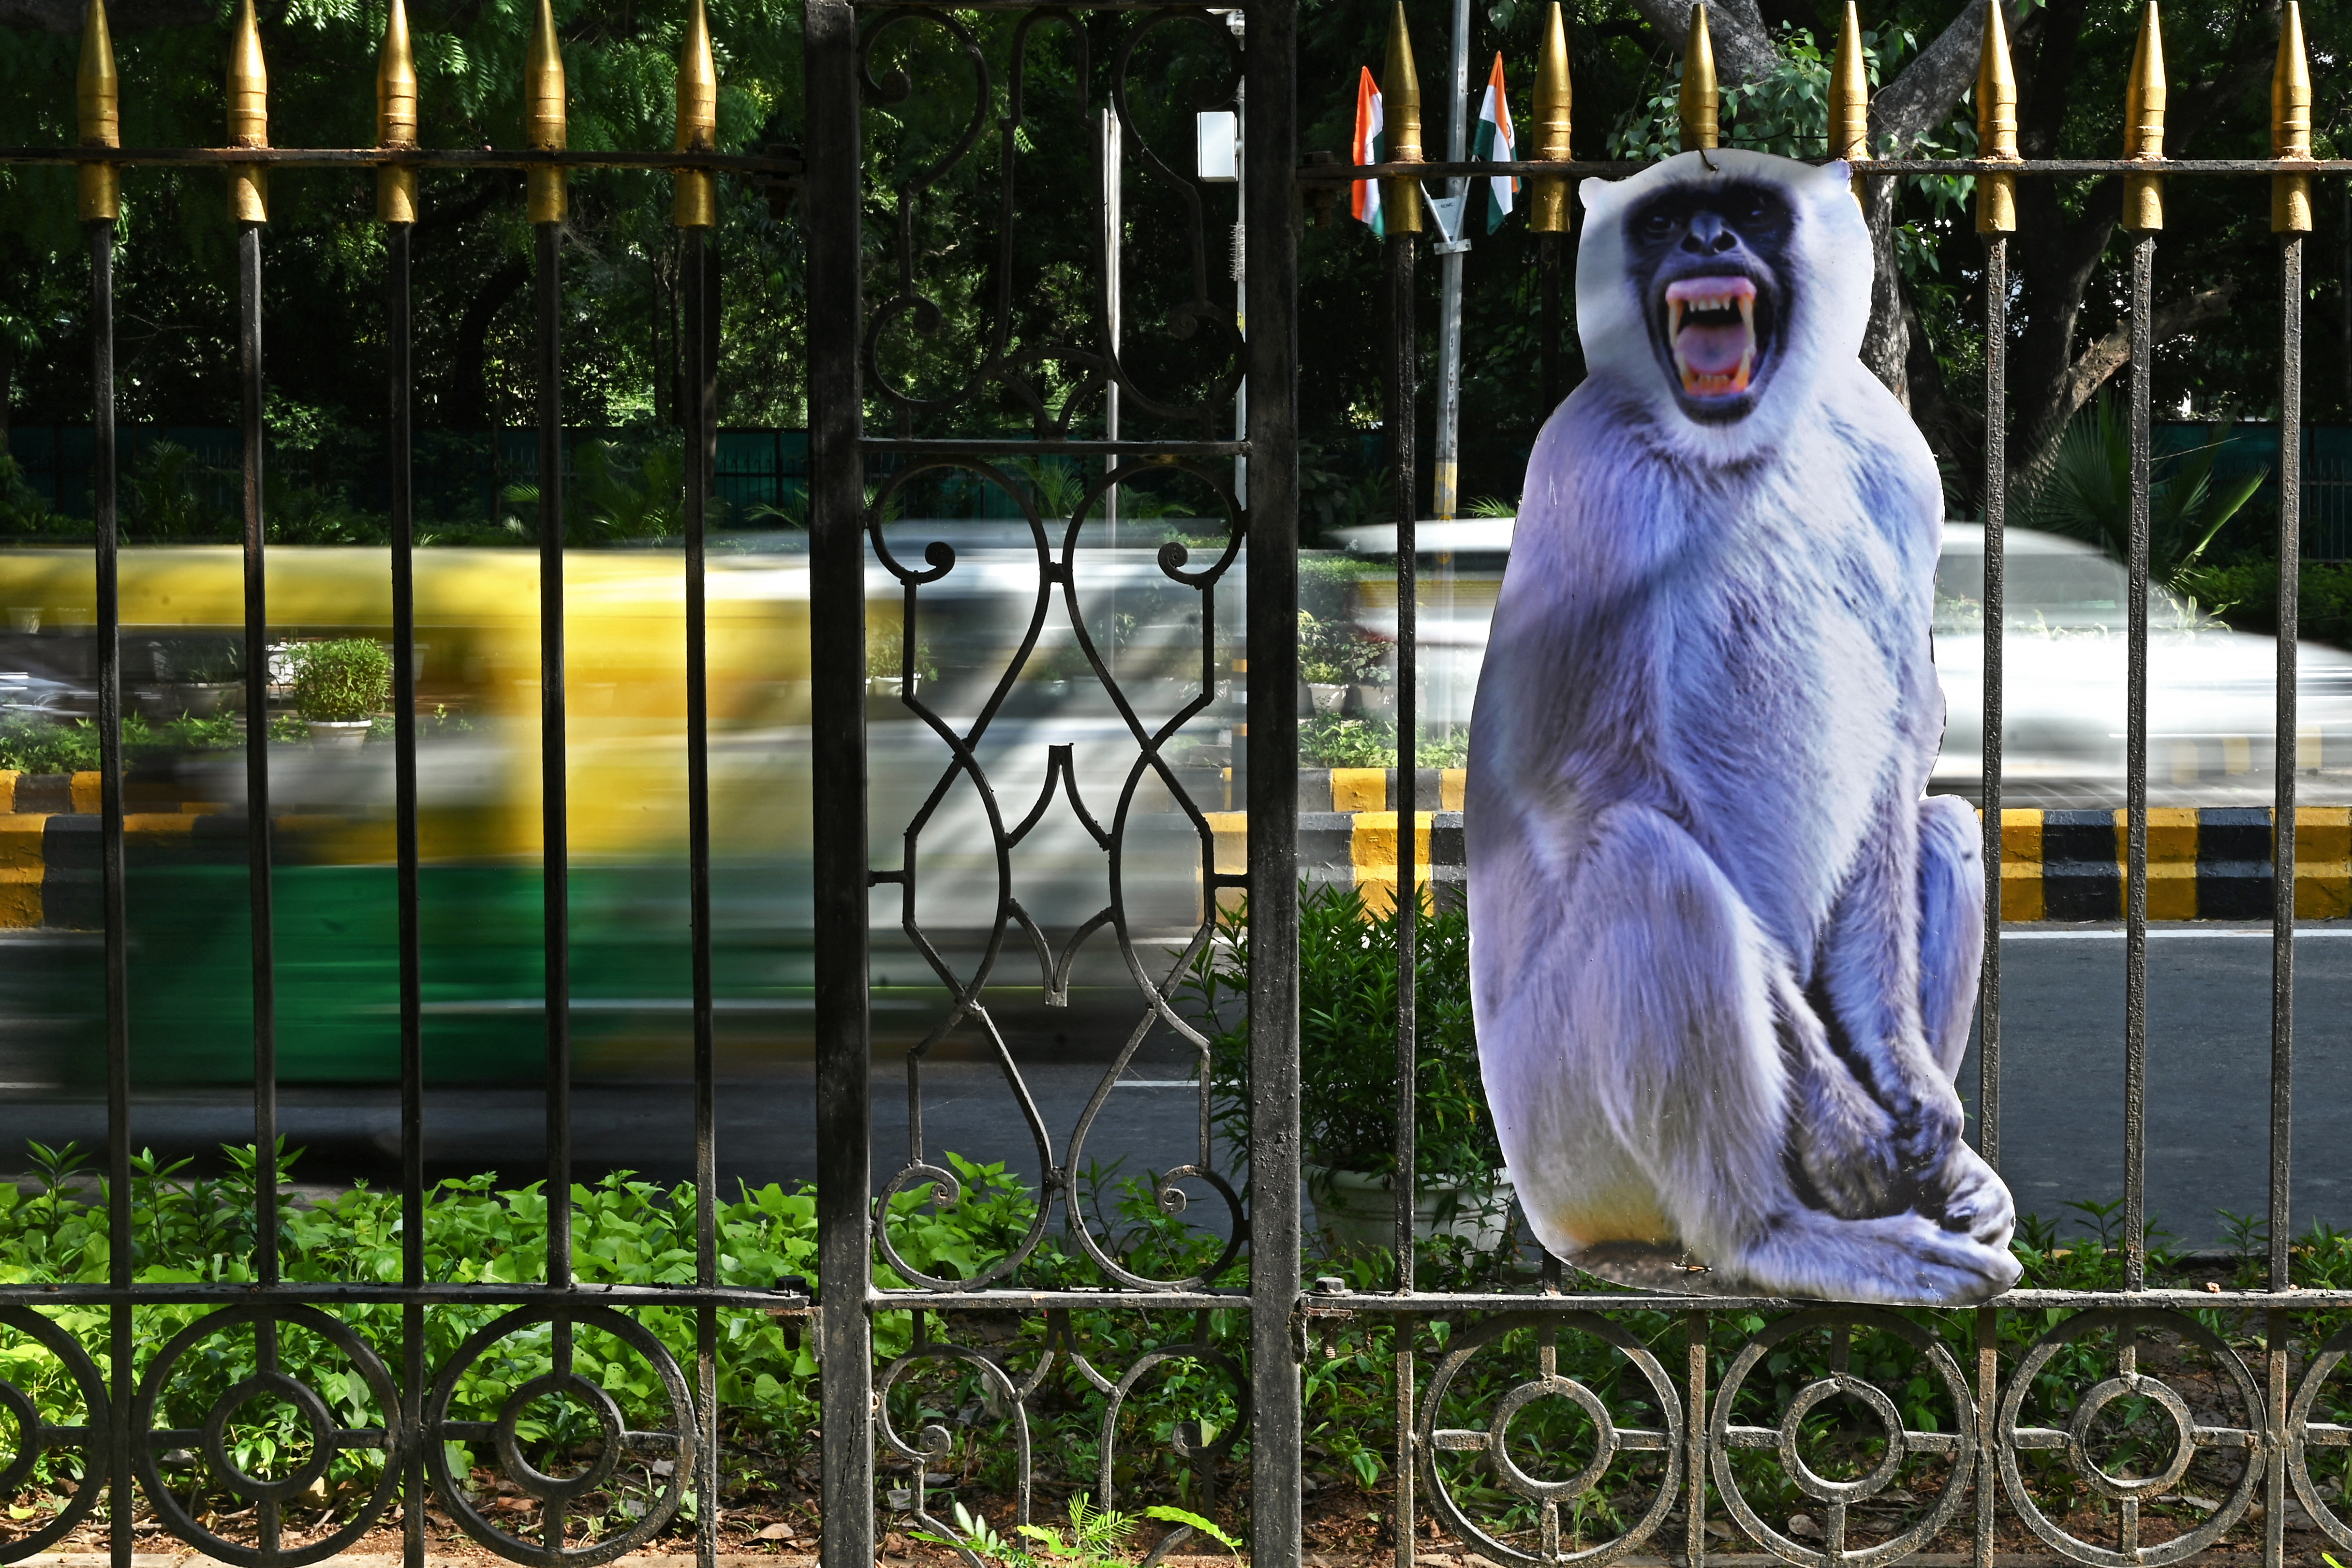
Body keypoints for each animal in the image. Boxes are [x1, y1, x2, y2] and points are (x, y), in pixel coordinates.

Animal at [1464, 149, 2018, 1305]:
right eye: (1667, 219)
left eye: (1750, 213)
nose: (1706, 242)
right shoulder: (1588, 468)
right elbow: (1583, 778)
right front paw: (1852, 1131)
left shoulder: (1895, 460)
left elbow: (1899, 754)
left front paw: (1906, 1086)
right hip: (1562, 1137)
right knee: (1648, 859)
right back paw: (1774, 1232)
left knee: (1942, 827)